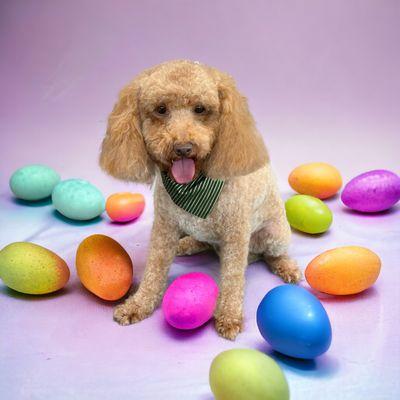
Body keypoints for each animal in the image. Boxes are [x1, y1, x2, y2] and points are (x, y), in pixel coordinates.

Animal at [99, 60, 300, 340]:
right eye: (161, 109)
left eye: (200, 109)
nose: (183, 148)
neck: (194, 185)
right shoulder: (164, 228)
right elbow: (154, 270)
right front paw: (138, 304)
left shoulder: (236, 234)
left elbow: (233, 277)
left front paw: (228, 316)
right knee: (207, 244)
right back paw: (188, 244)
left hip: (274, 234)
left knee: (272, 254)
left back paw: (286, 267)